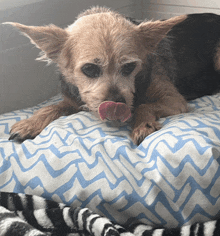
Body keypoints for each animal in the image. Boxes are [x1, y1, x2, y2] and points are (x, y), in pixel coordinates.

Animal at [4, 6, 220, 145]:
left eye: (130, 67)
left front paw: (143, 124)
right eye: (89, 69)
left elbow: (143, 105)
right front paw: (30, 123)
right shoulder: (75, 100)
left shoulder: (174, 100)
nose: (116, 105)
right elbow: (52, 107)